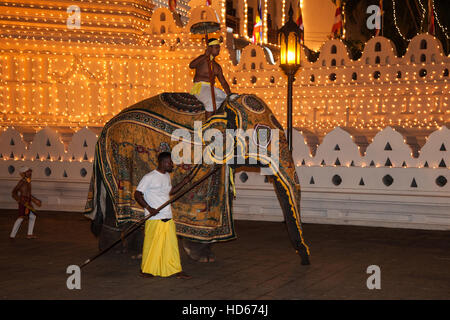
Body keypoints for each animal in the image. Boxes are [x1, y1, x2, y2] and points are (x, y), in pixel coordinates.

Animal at [84, 92, 310, 264]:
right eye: (263, 136)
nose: (304, 260)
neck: (223, 110)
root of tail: (103, 130)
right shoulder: (204, 158)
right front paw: (204, 258)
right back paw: (125, 252)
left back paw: (121, 250)